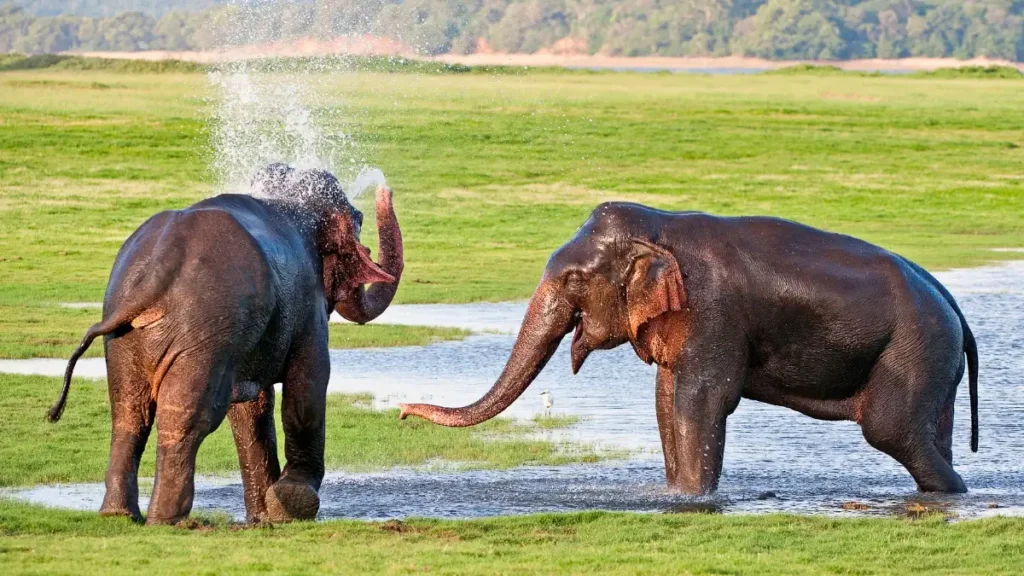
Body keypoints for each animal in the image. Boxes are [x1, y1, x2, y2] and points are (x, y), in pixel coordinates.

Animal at [47, 164, 403, 524]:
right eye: (360, 219)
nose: (384, 188)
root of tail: (156, 271)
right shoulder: (307, 309)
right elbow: (309, 385)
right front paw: (290, 505)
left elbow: (251, 406)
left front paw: (264, 519)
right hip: (204, 333)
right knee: (189, 415)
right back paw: (169, 520)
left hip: (125, 335)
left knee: (129, 413)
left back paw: (118, 515)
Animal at [400, 202, 979, 495]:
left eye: (573, 280)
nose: (403, 411)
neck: (661, 227)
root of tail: (953, 305)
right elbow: (665, 400)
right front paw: (675, 495)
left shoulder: (713, 309)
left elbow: (701, 400)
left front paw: (691, 501)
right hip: (933, 359)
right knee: (928, 430)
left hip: (915, 349)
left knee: (890, 430)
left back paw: (954, 493)